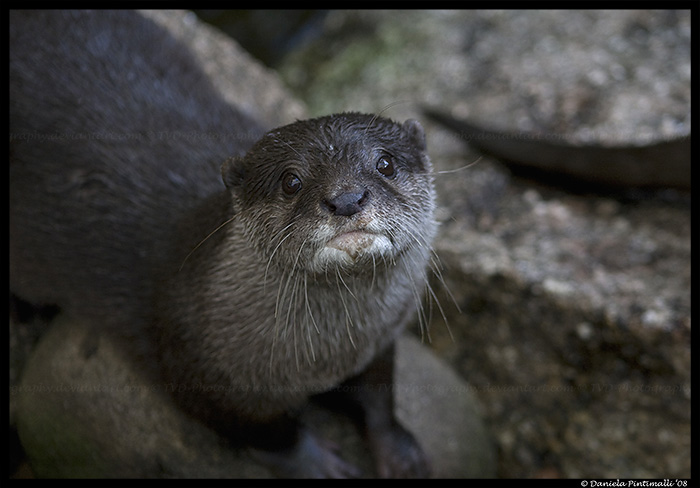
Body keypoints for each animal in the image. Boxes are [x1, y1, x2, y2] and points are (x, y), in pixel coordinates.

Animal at [10, 9, 434, 478]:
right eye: (291, 180)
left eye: (385, 163)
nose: (346, 198)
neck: (326, 356)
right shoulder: (197, 371)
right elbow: (269, 433)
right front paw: (314, 462)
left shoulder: (378, 342)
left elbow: (379, 394)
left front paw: (398, 452)